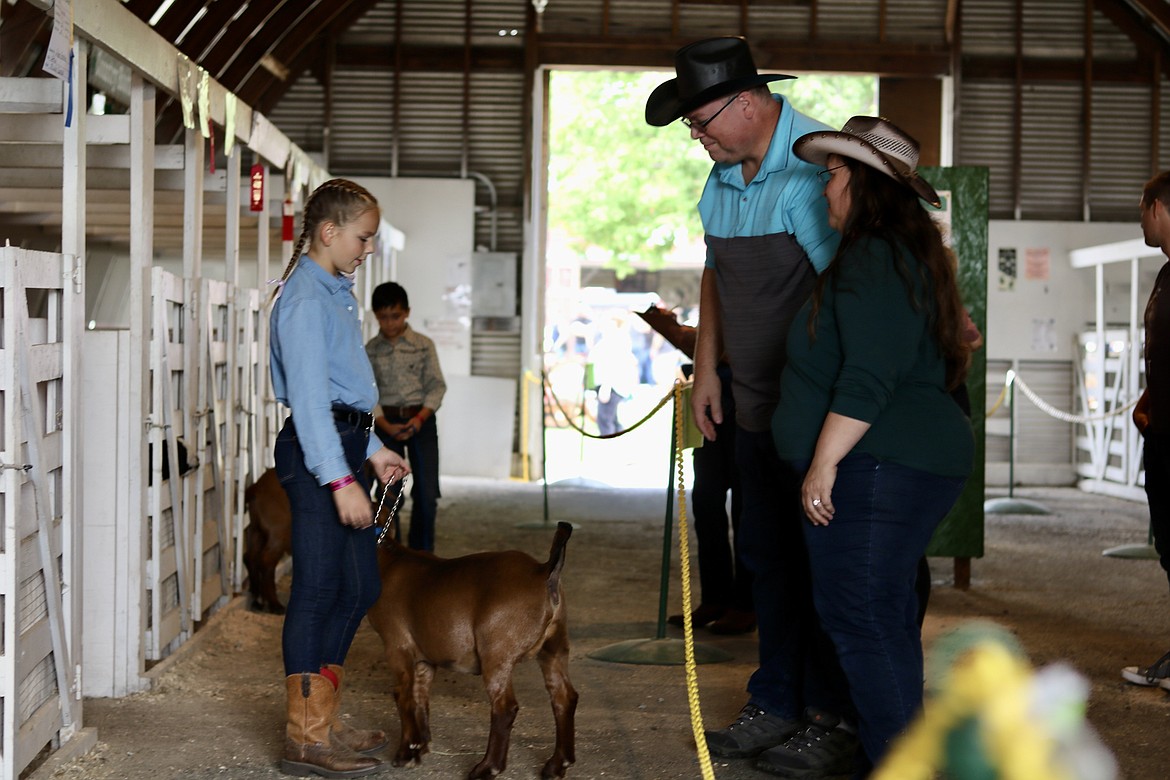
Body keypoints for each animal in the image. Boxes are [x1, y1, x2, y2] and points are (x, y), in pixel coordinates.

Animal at [365, 521, 575, 776]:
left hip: (496, 653)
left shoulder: (396, 645)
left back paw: (487, 767)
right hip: (554, 648)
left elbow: (403, 695)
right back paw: (557, 764)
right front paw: (421, 745)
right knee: (563, 697)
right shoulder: (426, 657)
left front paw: (406, 754)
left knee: (505, 707)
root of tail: (543, 571)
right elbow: (420, 695)